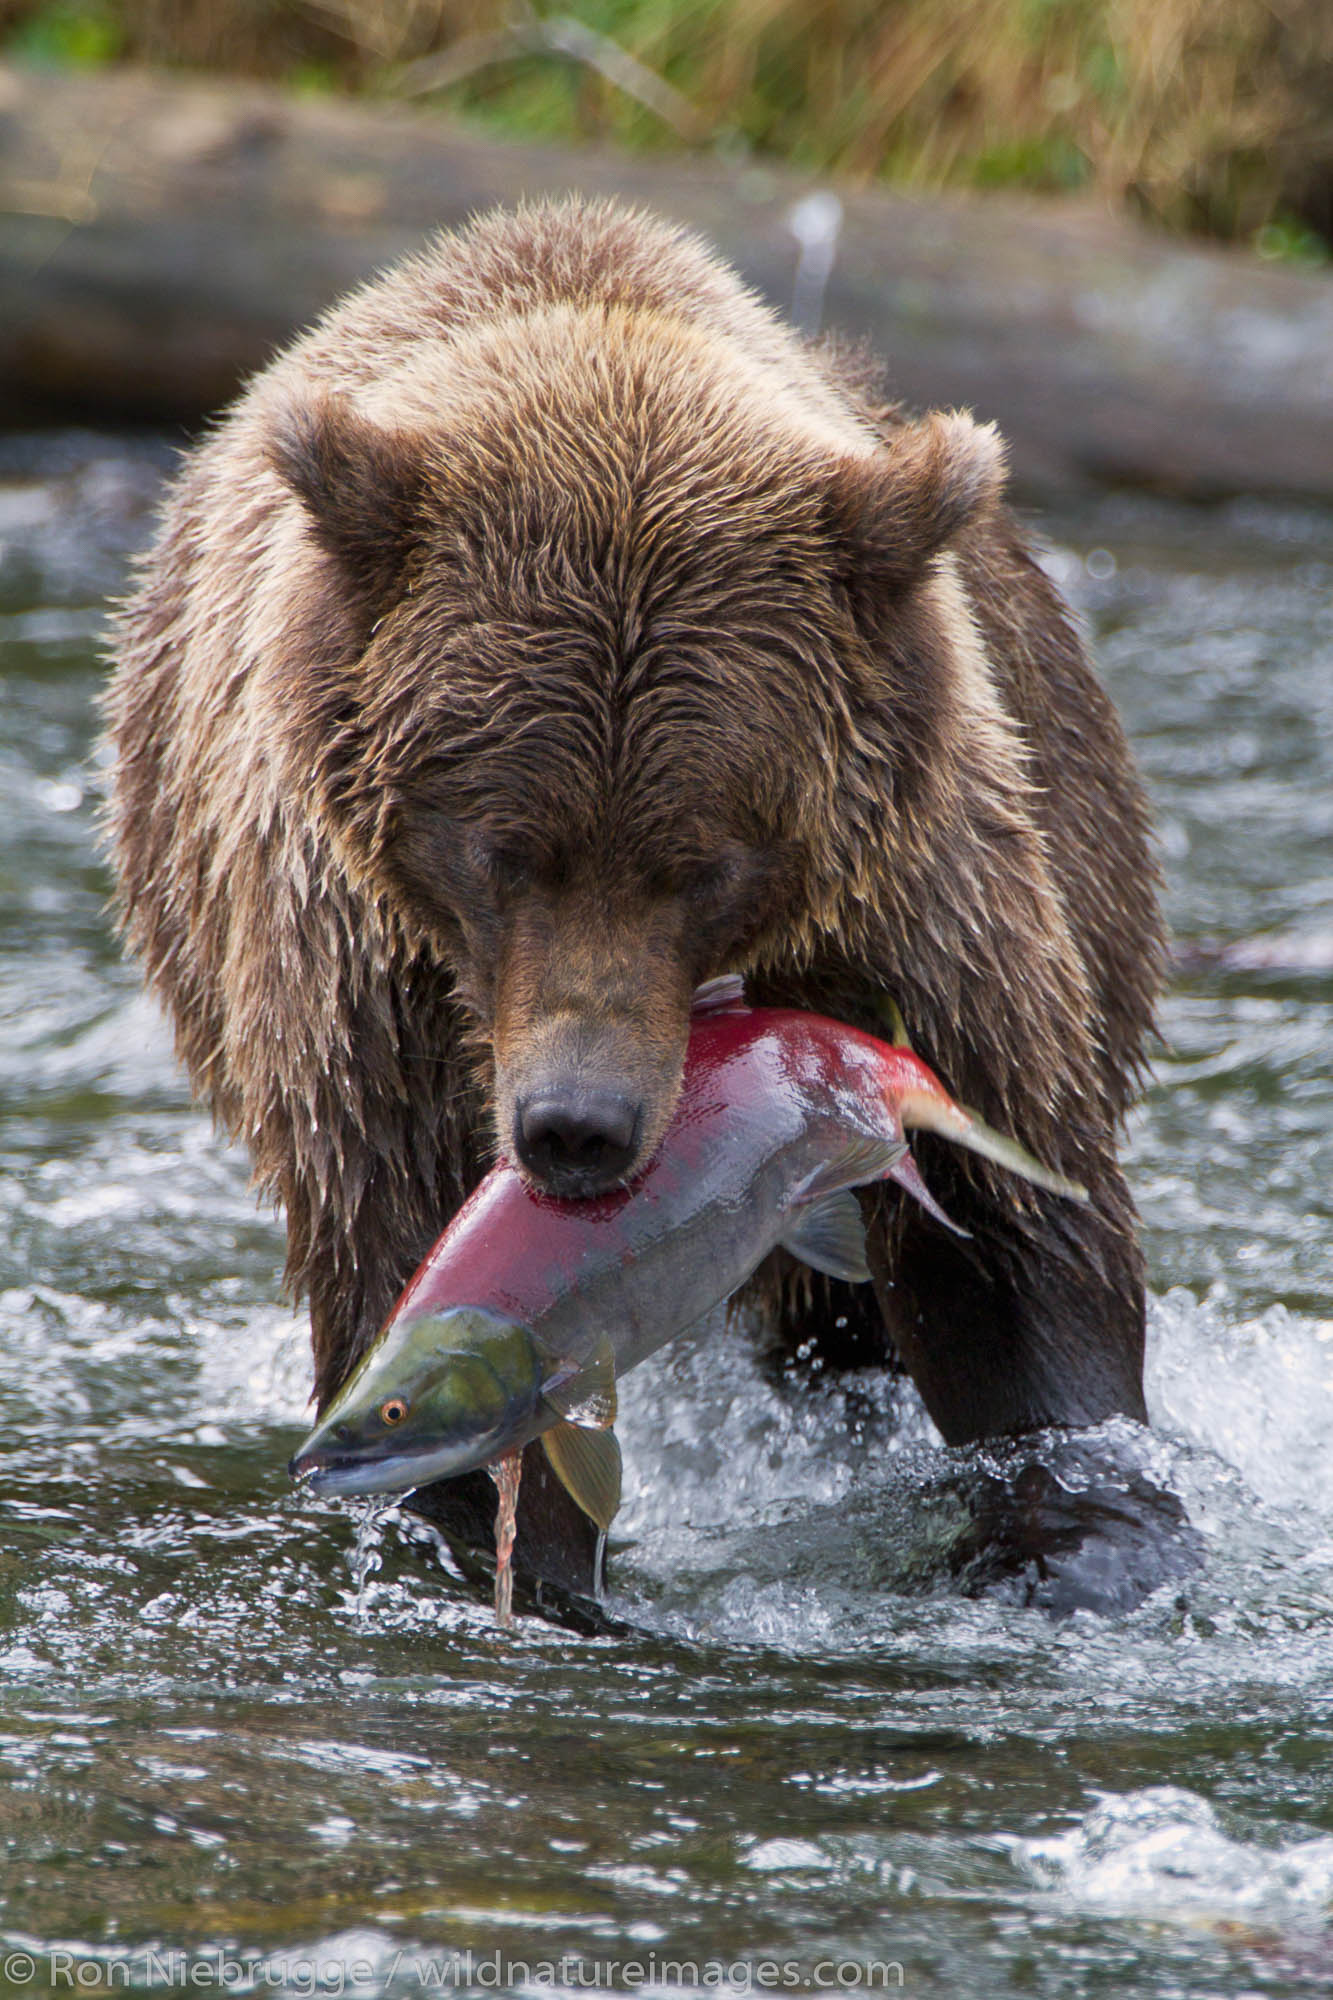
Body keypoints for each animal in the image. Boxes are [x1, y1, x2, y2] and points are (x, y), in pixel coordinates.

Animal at [106, 199, 1160, 1608]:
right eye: (502, 847)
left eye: (700, 858)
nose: (576, 1126)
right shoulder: (367, 981)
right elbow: (416, 1272)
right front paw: (537, 1571)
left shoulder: (916, 908)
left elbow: (1011, 1251)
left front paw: (1082, 1537)